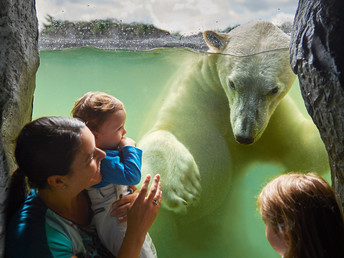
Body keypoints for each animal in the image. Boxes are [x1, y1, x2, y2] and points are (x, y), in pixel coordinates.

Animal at [138, 21, 330, 216]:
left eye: (273, 90)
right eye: (232, 83)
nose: (244, 136)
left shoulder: (274, 120)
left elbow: (302, 150)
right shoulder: (192, 95)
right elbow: (161, 131)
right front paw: (182, 186)